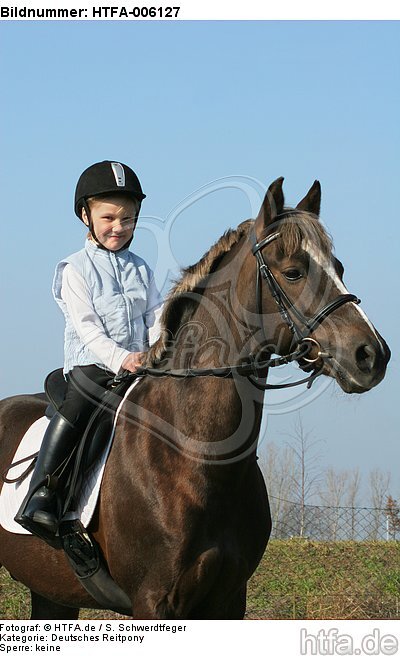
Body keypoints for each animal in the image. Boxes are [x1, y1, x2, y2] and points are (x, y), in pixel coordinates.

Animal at [0, 178, 390, 619]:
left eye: (338, 268)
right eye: (293, 272)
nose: (371, 355)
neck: (194, 456)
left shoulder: (228, 600)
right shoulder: (154, 602)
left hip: (50, 590)